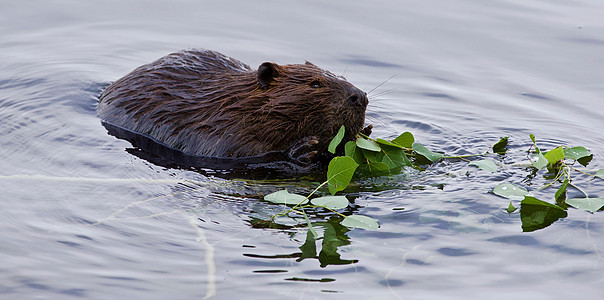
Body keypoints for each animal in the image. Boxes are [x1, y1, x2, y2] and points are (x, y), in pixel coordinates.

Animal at [98, 49, 368, 171]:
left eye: (344, 77)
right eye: (315, 83)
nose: (360, 97)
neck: (236, 104)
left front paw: (364, 132)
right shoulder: (221, 132)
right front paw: (303, 149)